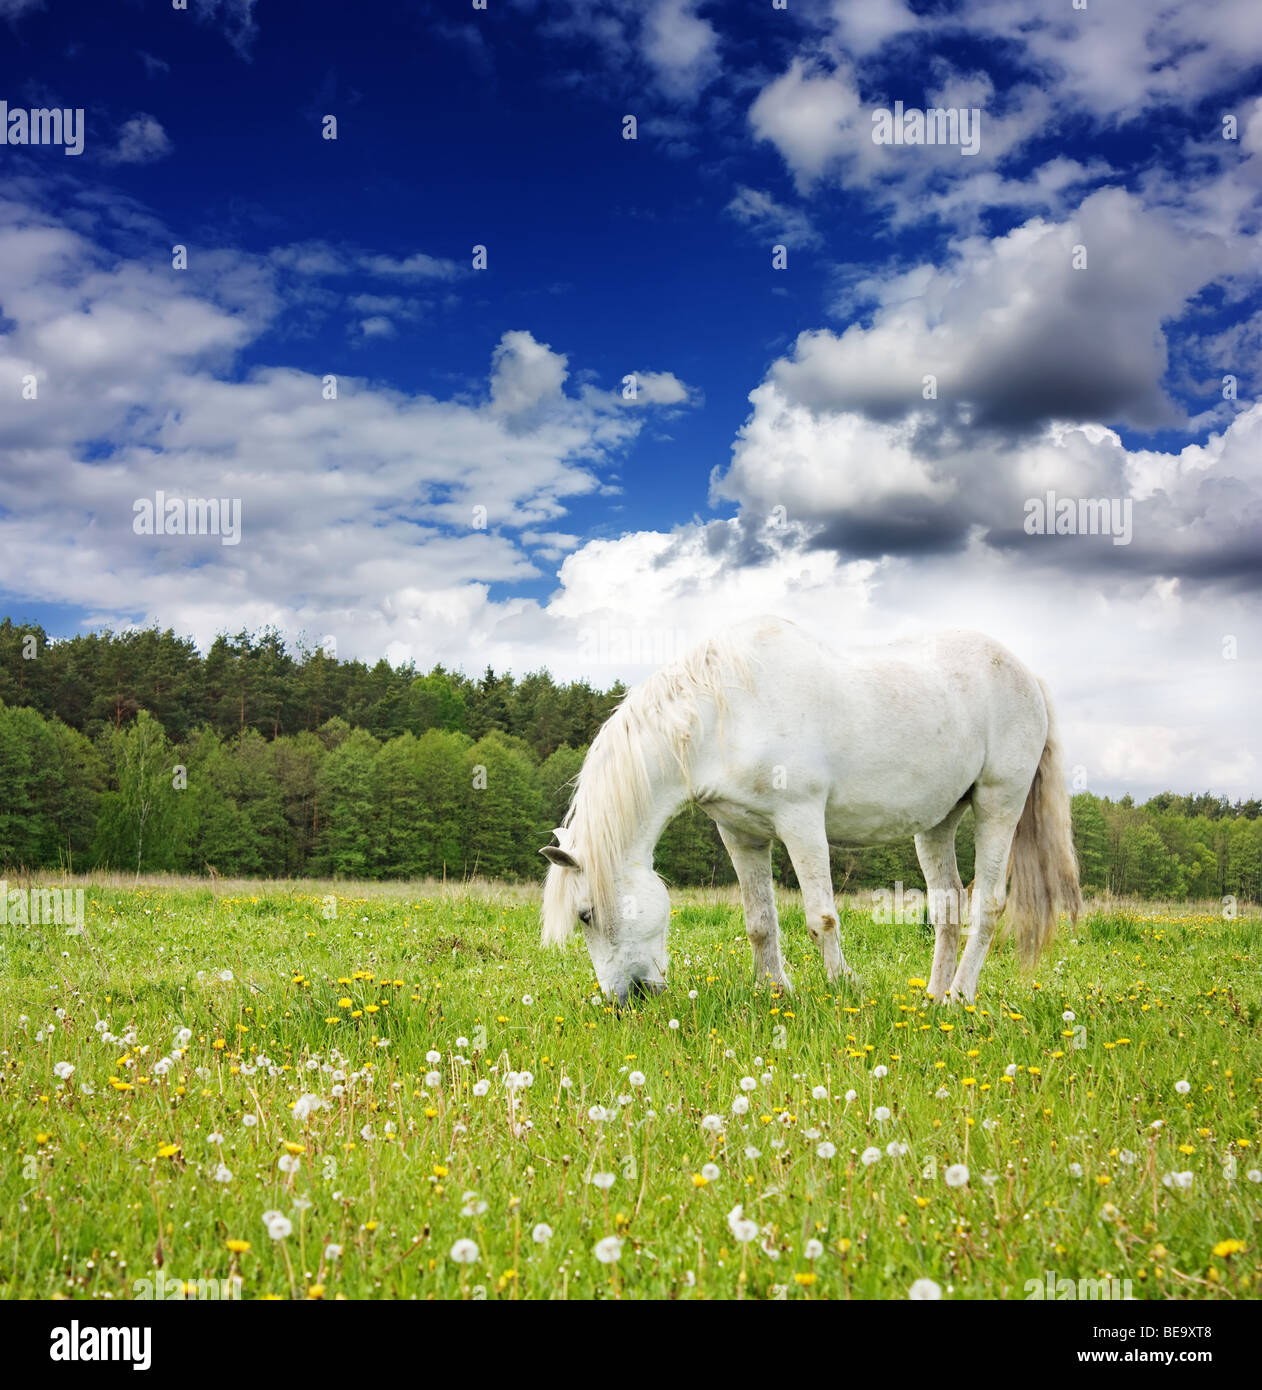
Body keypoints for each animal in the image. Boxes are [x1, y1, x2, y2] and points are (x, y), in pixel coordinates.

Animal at [540, 615, 1080, 1006]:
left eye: (586, 915)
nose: (623, 1001)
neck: (728, 712)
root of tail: (1026, 674)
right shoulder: (741, 835)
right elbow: (759, 921)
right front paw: (774, 991)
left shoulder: (801, 822)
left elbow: (821, 917)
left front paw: (843, 988)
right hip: (938, 822)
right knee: (948, 905)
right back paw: (931, 999)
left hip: (998, 804)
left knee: (987, 904)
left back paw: (959, 998)